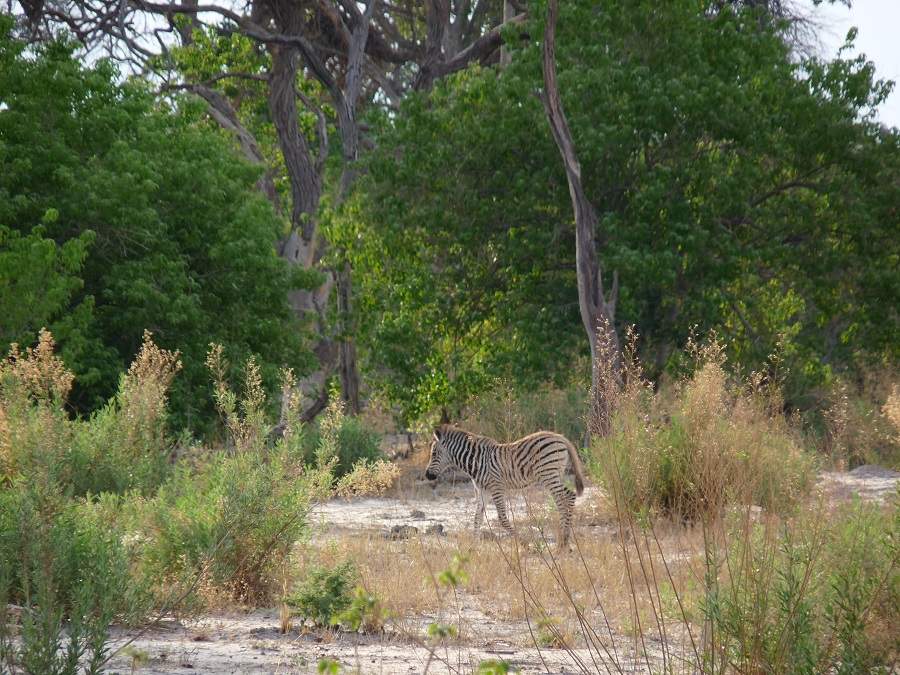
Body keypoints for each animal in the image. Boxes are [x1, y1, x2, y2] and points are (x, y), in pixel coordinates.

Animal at [426, 426, 588, 548]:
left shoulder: (496, 487)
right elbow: (477, 518)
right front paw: (473, 547)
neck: (476, 461)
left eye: (434, 453)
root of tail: (560, 437)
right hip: (554, 474)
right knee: (563, 500)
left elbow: (502, 518)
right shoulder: (483, 490)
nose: (427, 475)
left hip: (548, 475)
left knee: (568, 496)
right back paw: (564, 541)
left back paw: (564, 541)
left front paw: (524, 543)